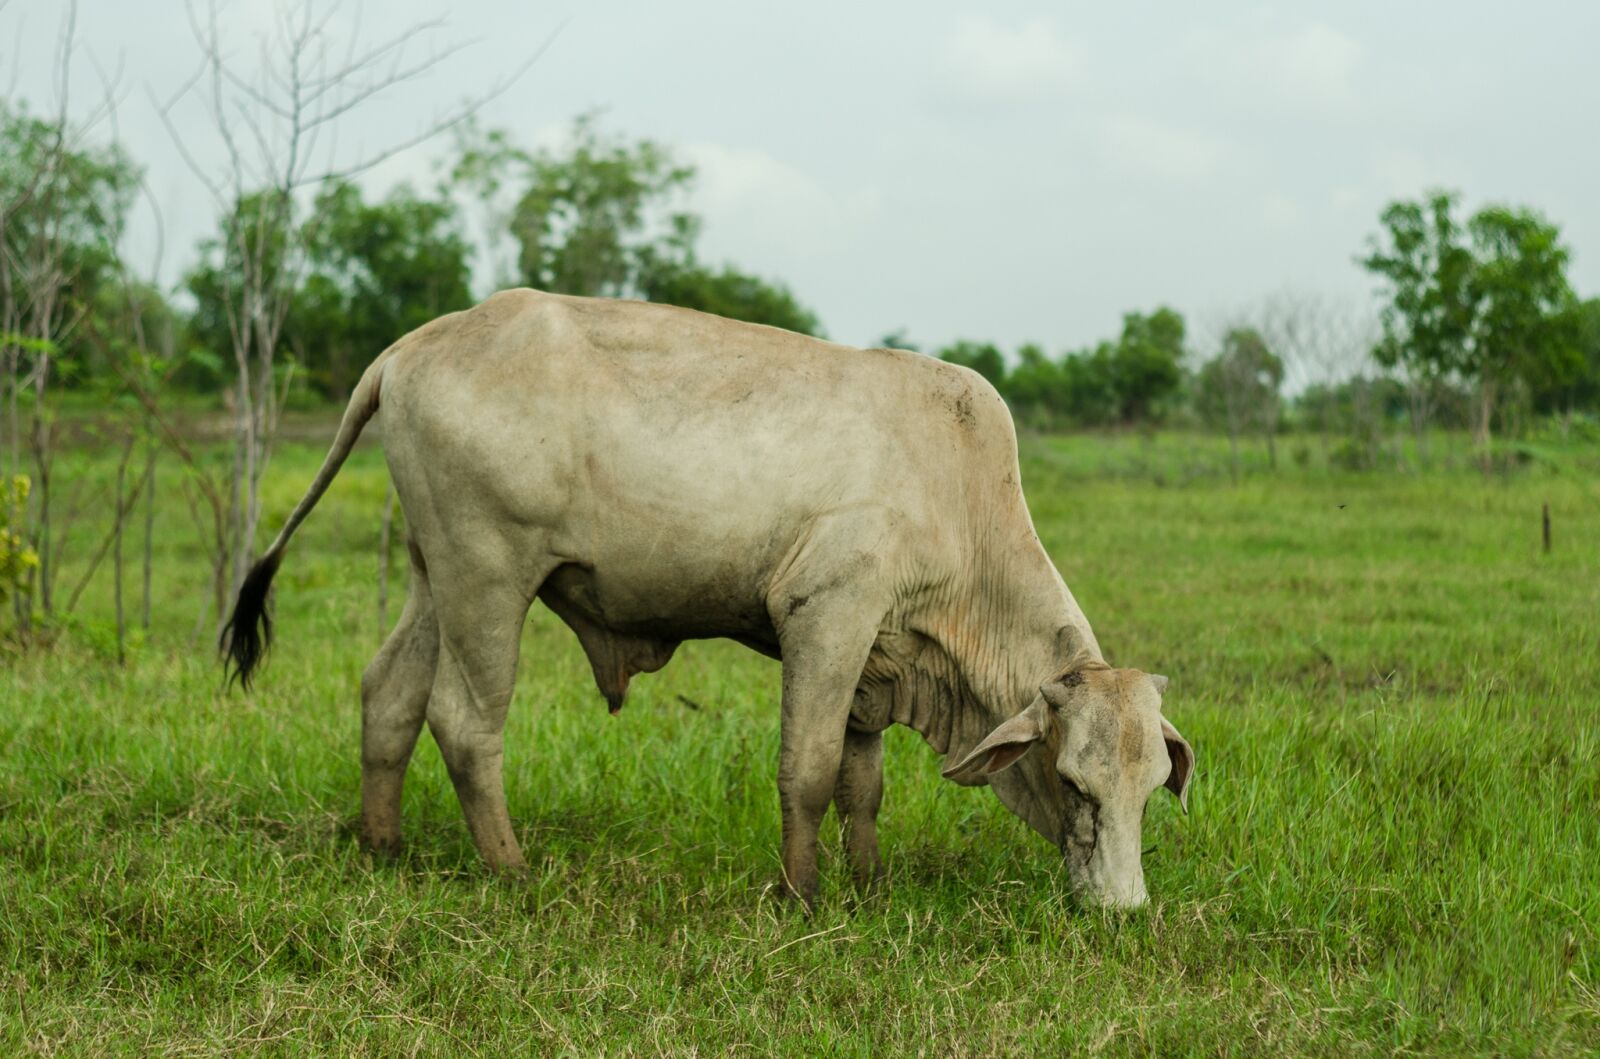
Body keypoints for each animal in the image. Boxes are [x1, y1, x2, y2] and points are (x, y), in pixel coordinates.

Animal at [223, 289, 1194, 909]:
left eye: (1152, 787)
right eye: (1072, 782)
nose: (1122, 910)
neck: (958, 498)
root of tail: (417, 344)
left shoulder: (874, 658)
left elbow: (864, 784)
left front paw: (869, 883)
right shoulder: (825, 616)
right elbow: (808, 772)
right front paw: (803, 895)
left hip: (433, 575)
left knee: (388, 694)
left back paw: (382, 847)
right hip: (487, 576)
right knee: (464, 721)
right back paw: (510, 869)